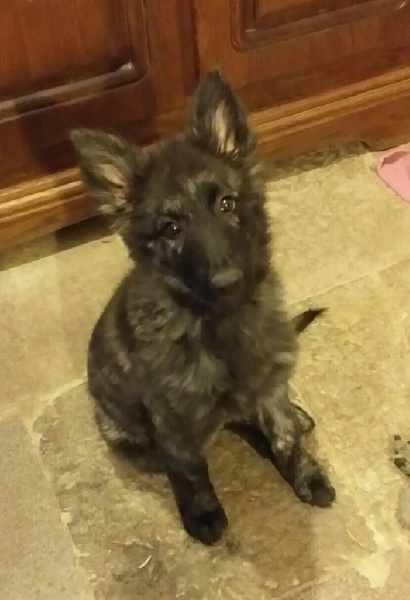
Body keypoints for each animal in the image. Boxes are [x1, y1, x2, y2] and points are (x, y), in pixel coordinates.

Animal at [70, 69, 335, 545]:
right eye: (171, 229)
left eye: (226, 203)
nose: (228, 282)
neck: (221, 323)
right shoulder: (172, 419)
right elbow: (190, 469)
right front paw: (203, 513)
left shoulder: (270, 384)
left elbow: (284, 435)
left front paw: (304, 474)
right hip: (129, 436)